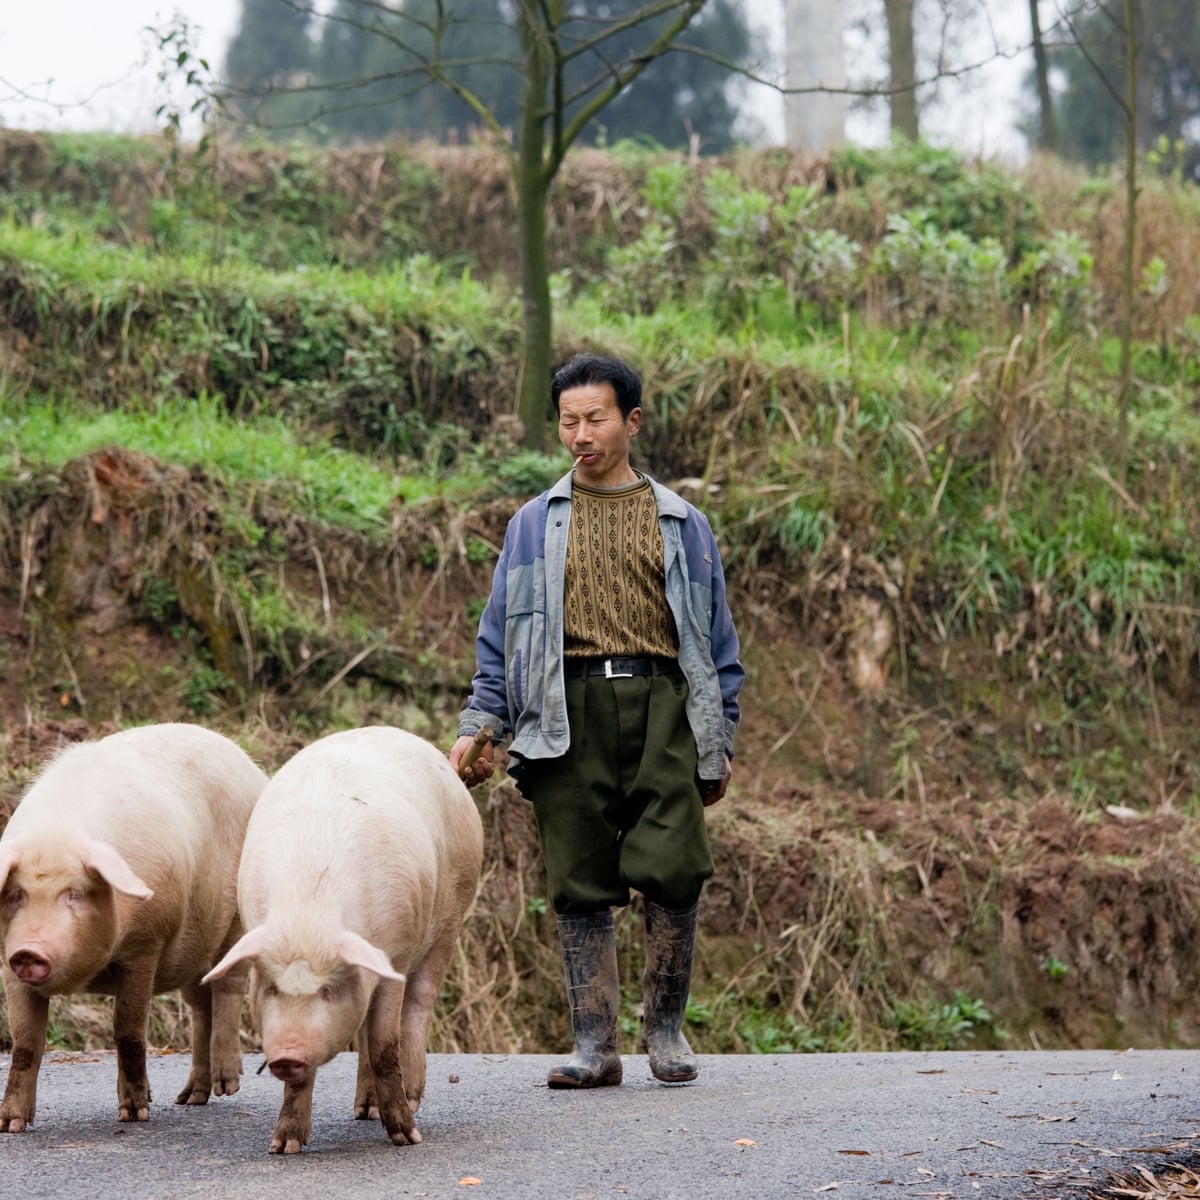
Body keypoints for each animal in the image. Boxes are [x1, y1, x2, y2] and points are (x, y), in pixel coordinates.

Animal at [0, 723, 268, 1131]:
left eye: (74, 894)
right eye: (17, 895)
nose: (29, 950)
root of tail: (253, 769)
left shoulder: (145, 945)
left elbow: (127, 1030)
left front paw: (135, 1113)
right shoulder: (8, 964)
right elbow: (25, 1042)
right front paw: (11, 1125)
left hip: (236, 919)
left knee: (229, 986)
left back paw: (226, 1085)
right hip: (193, 947)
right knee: (200, 1006)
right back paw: (190, 1098)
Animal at [202, 725, 484, 1155]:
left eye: (328, 990)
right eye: (270, 989)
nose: (285, 1055)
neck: (309, 916)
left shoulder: (395, 955)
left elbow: (385, 1046)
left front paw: (407, 1138)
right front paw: (283, 1146)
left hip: (450, 920)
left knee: (418, 1007)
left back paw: (411, 1100)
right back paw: (364, 1111)